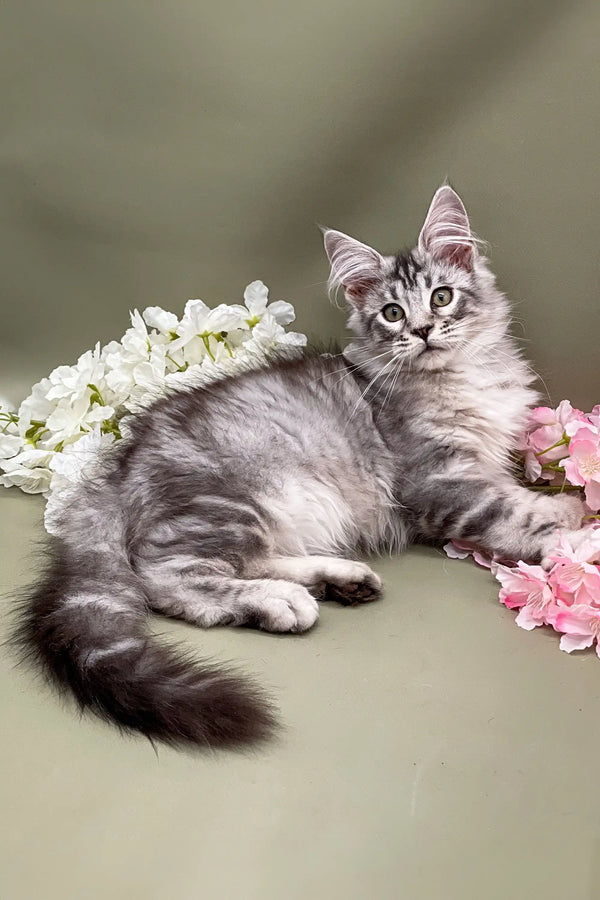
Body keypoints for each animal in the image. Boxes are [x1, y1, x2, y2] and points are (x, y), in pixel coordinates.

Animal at [16, 186, 588, 748]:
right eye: (392, 313)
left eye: (441, 298)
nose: (424, 330)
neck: (458, 378)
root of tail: (123, 459)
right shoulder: (439, 481)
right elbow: (510, 513)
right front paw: (576, 535)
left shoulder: (483, 463)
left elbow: (519, 495)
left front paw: (568, 508)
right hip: (232, 500)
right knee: (166, 578)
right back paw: (281, 603)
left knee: (247, 561)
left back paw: (337, 579)